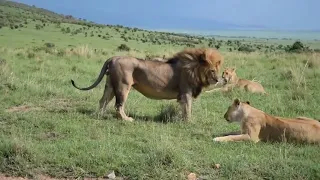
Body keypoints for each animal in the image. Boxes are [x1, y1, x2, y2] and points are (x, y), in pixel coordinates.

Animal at [70, 47, 225, 121]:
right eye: (212, 70)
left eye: (218, 70)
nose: (218, 80)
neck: (194, 69)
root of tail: (114, 57)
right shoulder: (186, 92)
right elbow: (188, 109)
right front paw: (188, 122)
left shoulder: (183, 95)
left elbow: (183, 109)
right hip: (123, 86)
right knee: (118, 105)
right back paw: (126, 119)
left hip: (110, 85)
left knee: (103, 101)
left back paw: (100, 115)